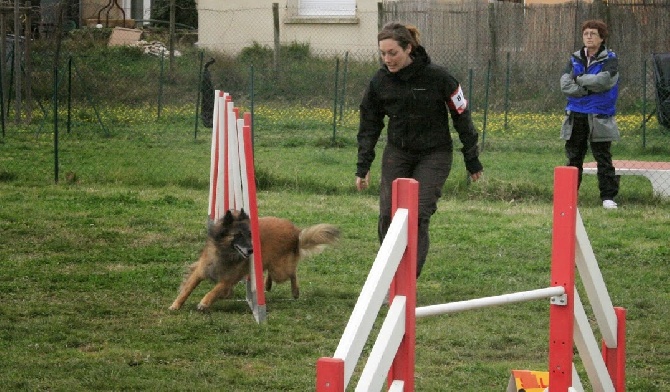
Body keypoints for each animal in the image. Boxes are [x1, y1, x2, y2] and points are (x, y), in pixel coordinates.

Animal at [168, 210, 342, 310]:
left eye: (250, 235)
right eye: (238, 235)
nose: (252, 250)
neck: (225, 253)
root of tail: (295, 230)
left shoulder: (228, 279)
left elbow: (215, 290)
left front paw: (204, 302)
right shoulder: (200, 271)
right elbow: (187, 288)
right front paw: (175, 305)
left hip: (280, 270)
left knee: (292, 273)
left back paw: (295, 291)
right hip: (273, 265)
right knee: (272, 271)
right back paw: (267, 284)